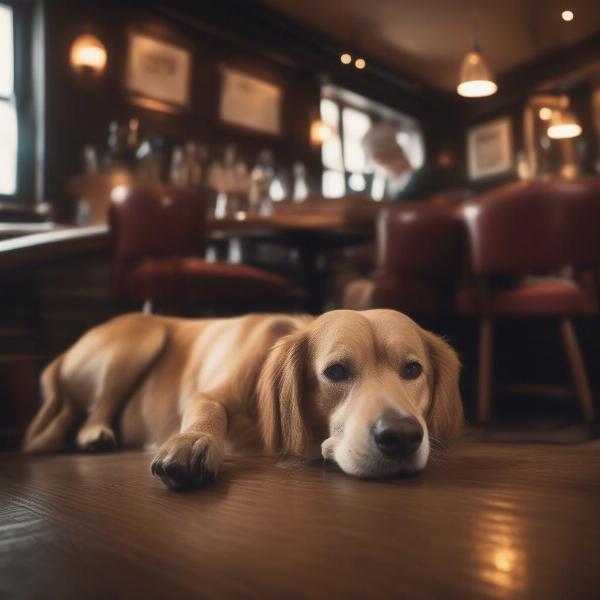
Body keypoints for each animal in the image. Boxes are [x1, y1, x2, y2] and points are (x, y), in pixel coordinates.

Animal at [23, 312, 462, 490]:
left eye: (413, 369)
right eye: (335, 371)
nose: (401, 436)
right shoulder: (210, 394)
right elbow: (207, 412)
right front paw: (192, 442)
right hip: (141, 339)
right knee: (93, 411)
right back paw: (95, 435)